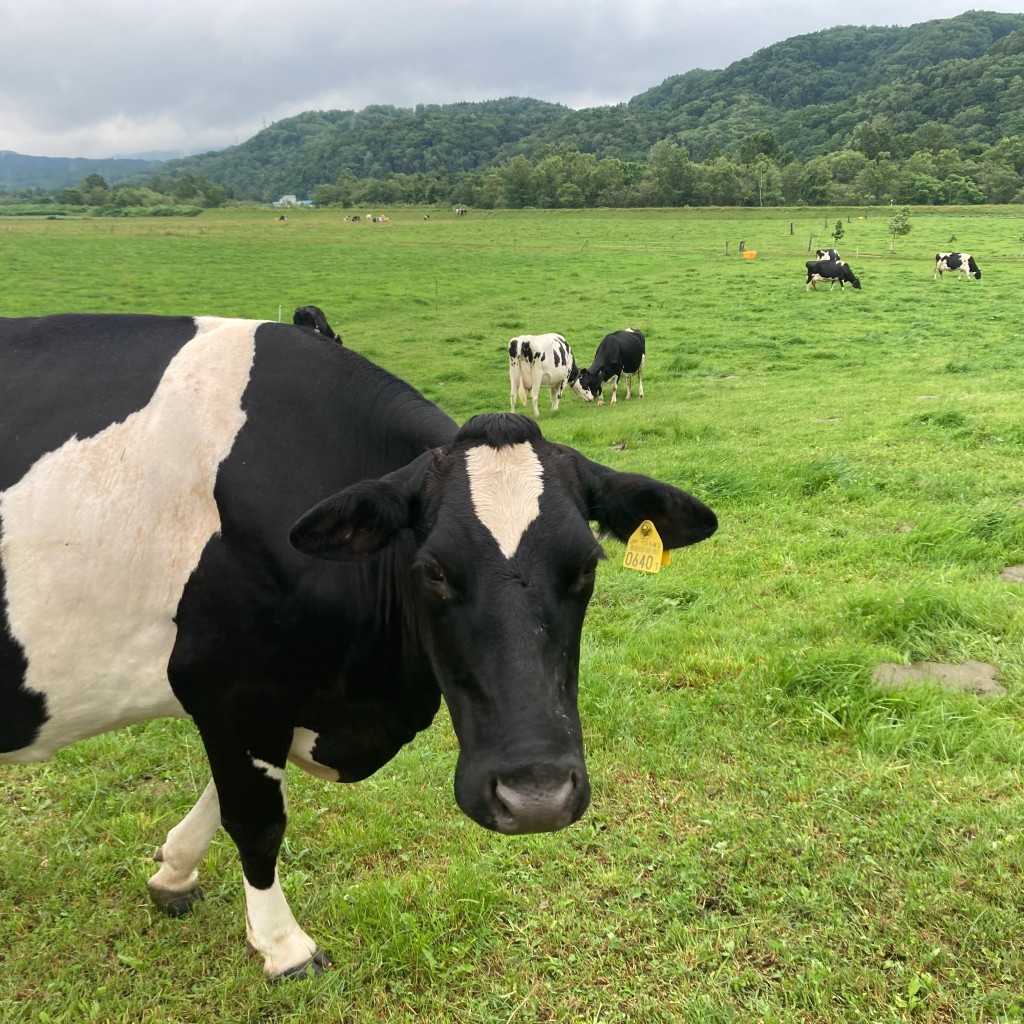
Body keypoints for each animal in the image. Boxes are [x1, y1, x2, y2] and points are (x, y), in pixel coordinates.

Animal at [0, 315, 716, 978]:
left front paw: (174, 873)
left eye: (588, 565)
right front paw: (284, 947)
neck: (362, 694)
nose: (536, 795)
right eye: (432, 570)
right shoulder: (231, 686)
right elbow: (256, 818)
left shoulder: (265, 700)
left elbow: (224, 796)